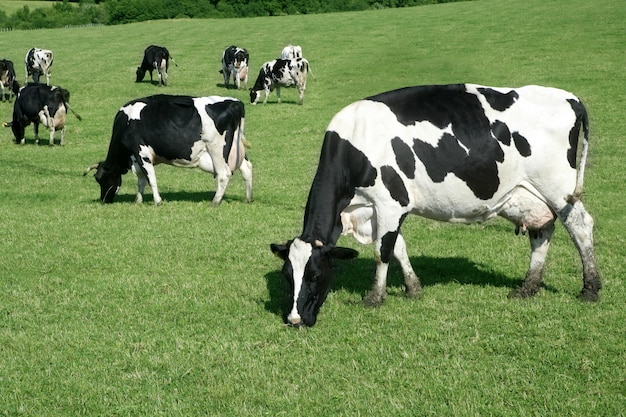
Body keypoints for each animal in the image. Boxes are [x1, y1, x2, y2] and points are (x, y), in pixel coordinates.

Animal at [84, 94, 252, 205]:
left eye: (100, 179)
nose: (104, 200)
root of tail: (236, 103)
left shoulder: (142, 153)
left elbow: (150, 178)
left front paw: (157, 201)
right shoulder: (137, 158)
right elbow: (141, 179)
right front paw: (138, 200)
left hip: (216, 149)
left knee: (224, 174)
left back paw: (215, 202)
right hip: (236, 150)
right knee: (247, 168)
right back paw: (248, 198)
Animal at [270, 83, 600, 326]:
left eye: (314, 275)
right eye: (287, 276)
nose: (295, 320)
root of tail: (569, 97)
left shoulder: (390, 203)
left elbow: (382, 252)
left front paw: (375, 297)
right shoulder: (381, 210)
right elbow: (399, 248)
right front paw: (413, 288)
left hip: (559, 188)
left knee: (580, 226)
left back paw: (591, 288)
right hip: (531, 195)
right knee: (542, 231)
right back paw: (528, 287)